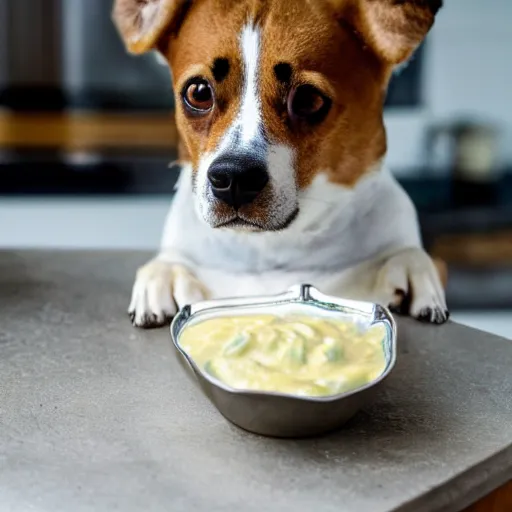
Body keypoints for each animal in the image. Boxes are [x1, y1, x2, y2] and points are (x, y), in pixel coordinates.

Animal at [113, 0, 448, 328]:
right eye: (198, 93)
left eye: (308, 99)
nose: (233, 178)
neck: (273, 246)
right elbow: (170, 261)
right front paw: (162, 274)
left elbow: (406, 254)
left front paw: (412, 268)